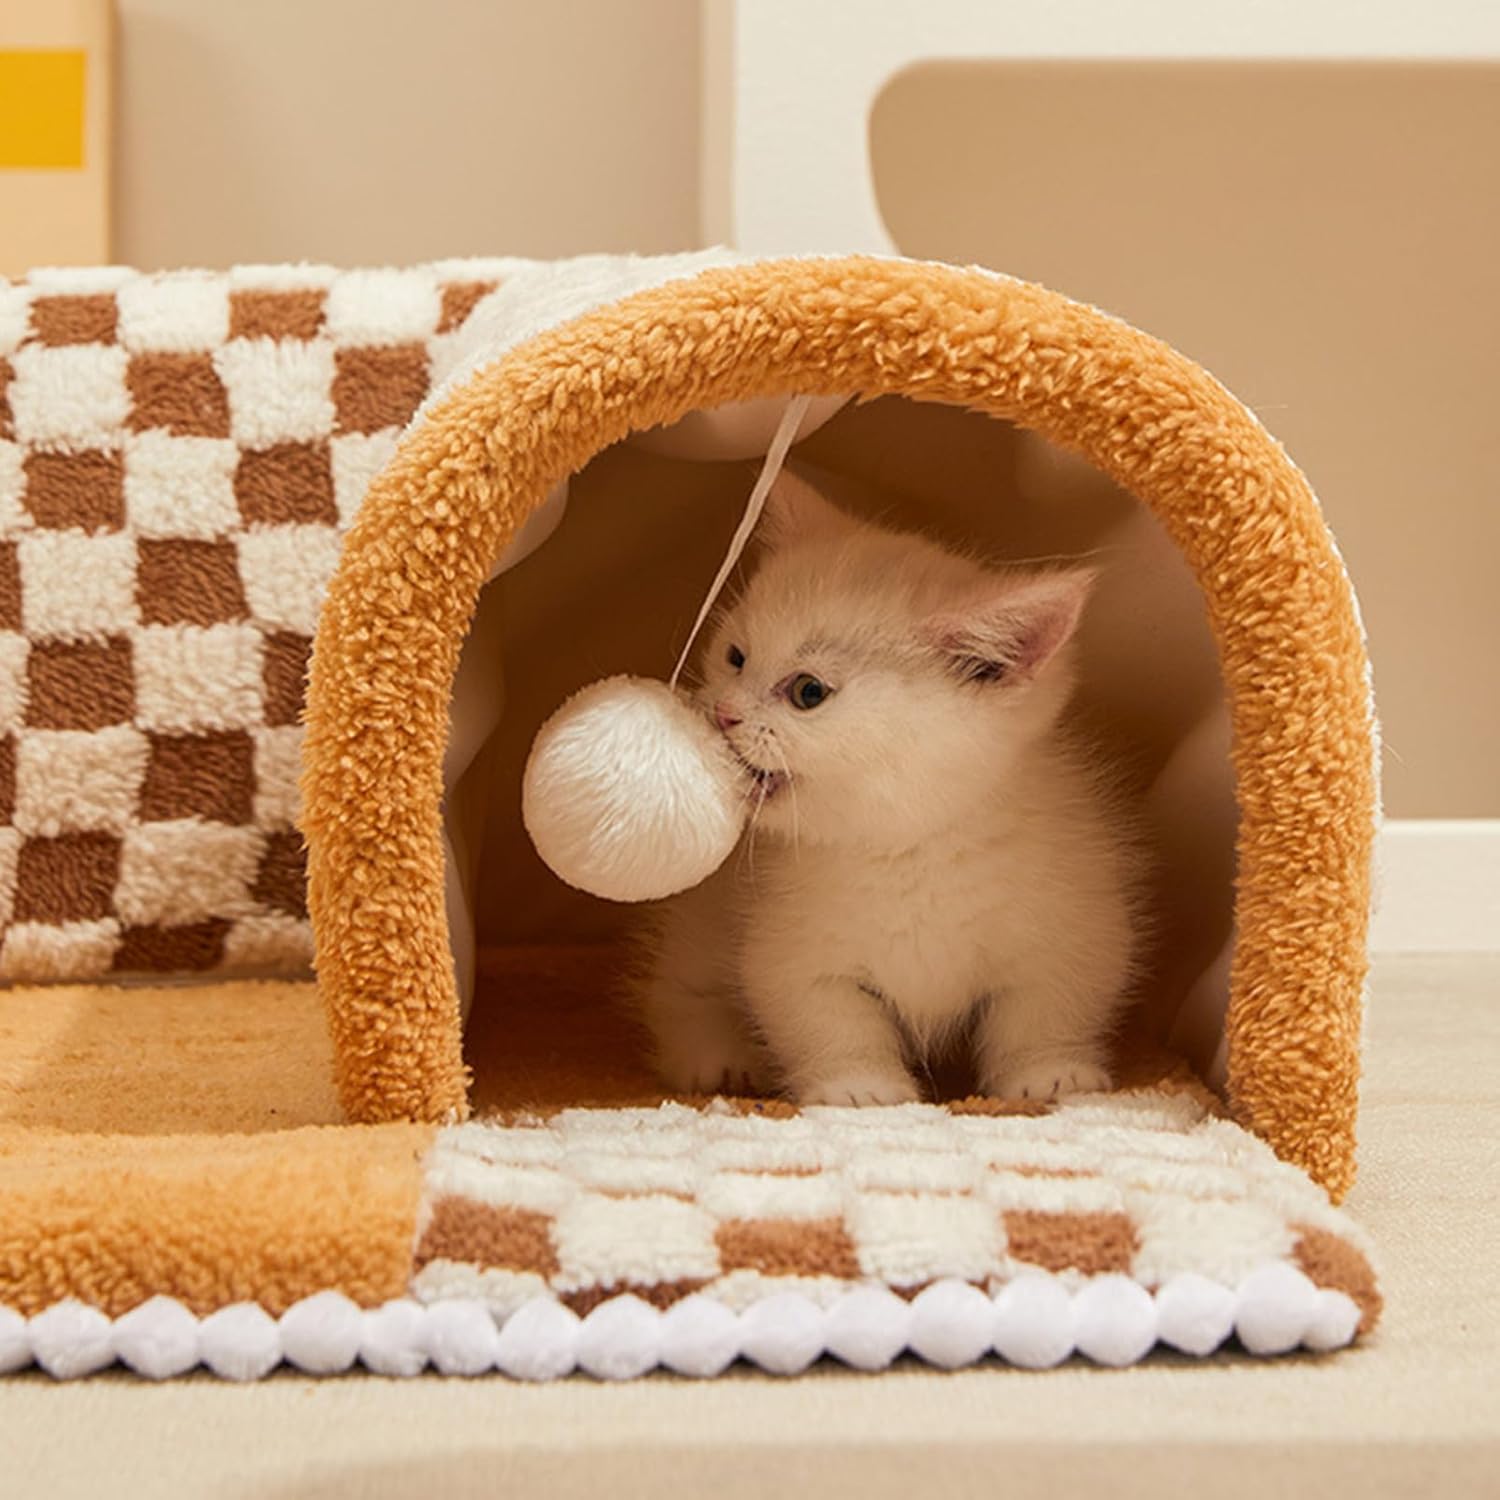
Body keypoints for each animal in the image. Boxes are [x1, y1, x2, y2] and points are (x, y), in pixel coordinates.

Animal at [639, 474, 1140, 1110]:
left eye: (808, 692)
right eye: (735, 657)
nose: (724, 713)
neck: (906, 845)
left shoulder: (1074, 921)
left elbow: (1043, 1010)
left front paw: (1050, 1074)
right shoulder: (793, 951)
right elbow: (831, 1021)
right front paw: (860, 1086)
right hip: (702, 924)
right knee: (682, 988)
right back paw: (715, 1057)